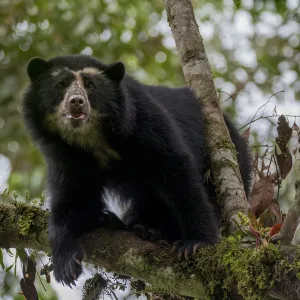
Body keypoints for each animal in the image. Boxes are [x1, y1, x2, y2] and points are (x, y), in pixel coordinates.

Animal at [21, 55, 251, 288]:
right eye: (60, 85)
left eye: (91, 86)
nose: (76, 102)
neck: (92, 138)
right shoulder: (65, 155)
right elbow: (71, 196)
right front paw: (66, 264)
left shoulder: (142, 122)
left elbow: (176, 171)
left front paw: (195, 243)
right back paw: (117, 221)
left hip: (229, 157)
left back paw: (154, 231)